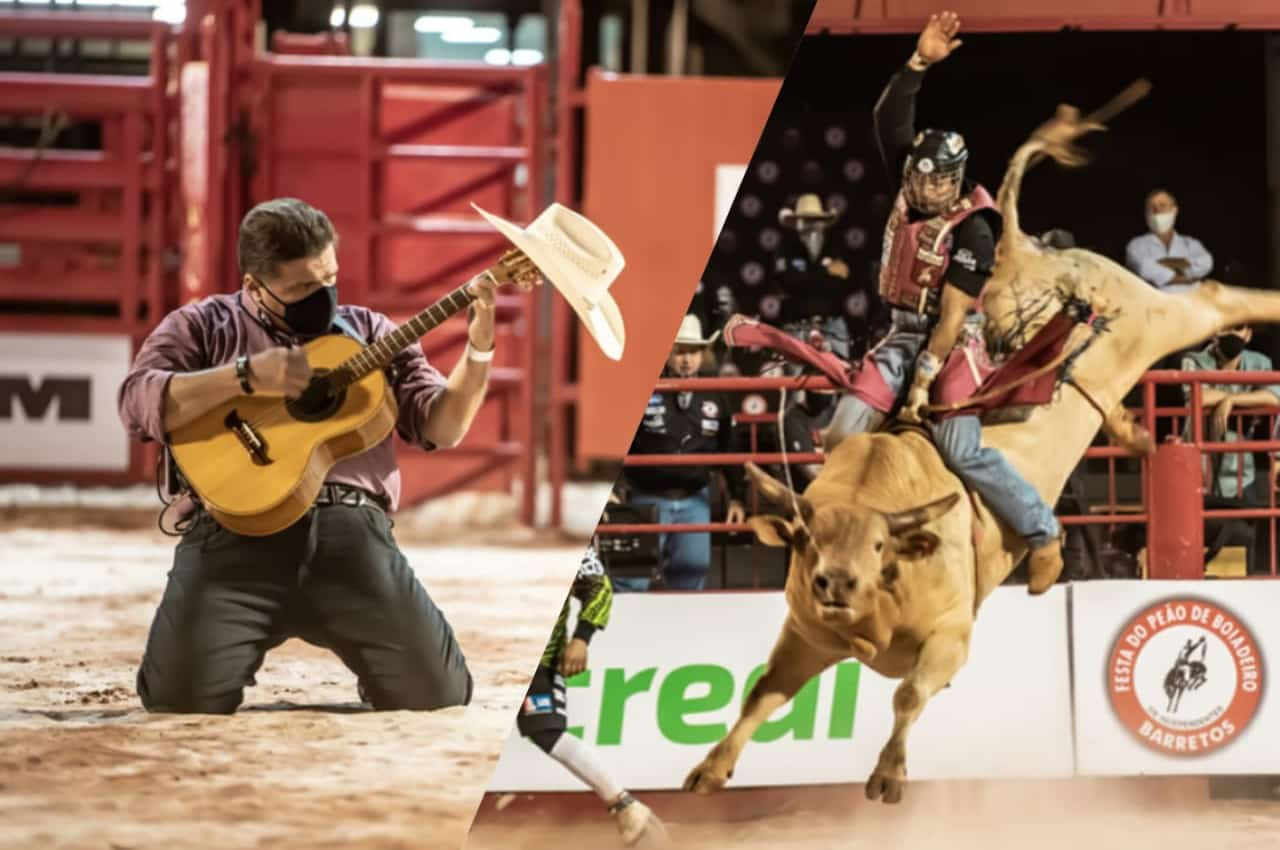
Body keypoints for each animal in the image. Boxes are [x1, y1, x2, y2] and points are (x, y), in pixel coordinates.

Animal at [691, 86, 1280, 803]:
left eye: (881, 545)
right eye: (809, 544)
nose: (836, 581)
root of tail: (1027, 252)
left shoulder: (952, 633)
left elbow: (910, 694)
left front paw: (888, 774)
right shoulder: (804, 635)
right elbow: (761, 696)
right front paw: (710, 768)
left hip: (1155, 318)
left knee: (1217, 297)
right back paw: (1133, 434)